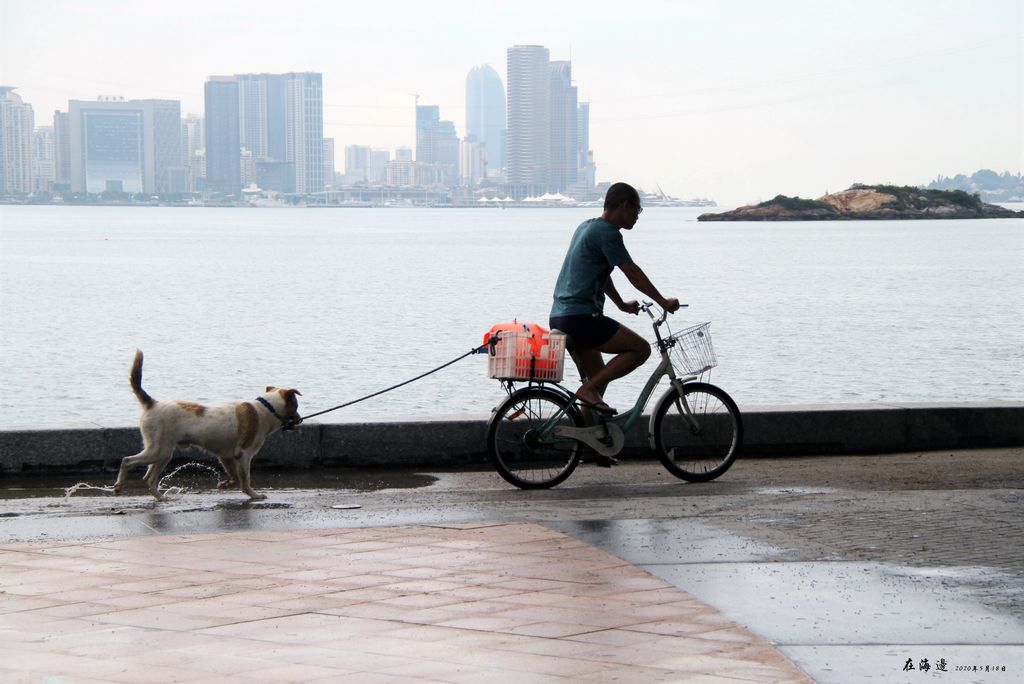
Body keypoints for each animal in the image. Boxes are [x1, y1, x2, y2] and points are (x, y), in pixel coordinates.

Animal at [115, 350, 301, 499]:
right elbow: (245, 478)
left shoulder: (226, 457)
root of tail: (152, 403)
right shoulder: (244, 455)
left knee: (149, 478)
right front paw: (254, 495)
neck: (267, 409)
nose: (300, 419)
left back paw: (160, 497)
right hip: (159, 451)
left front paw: (226, 484)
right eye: (296, 406)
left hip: (162, 454)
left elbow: (235, 478)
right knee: (127, 461)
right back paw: (119, 486)